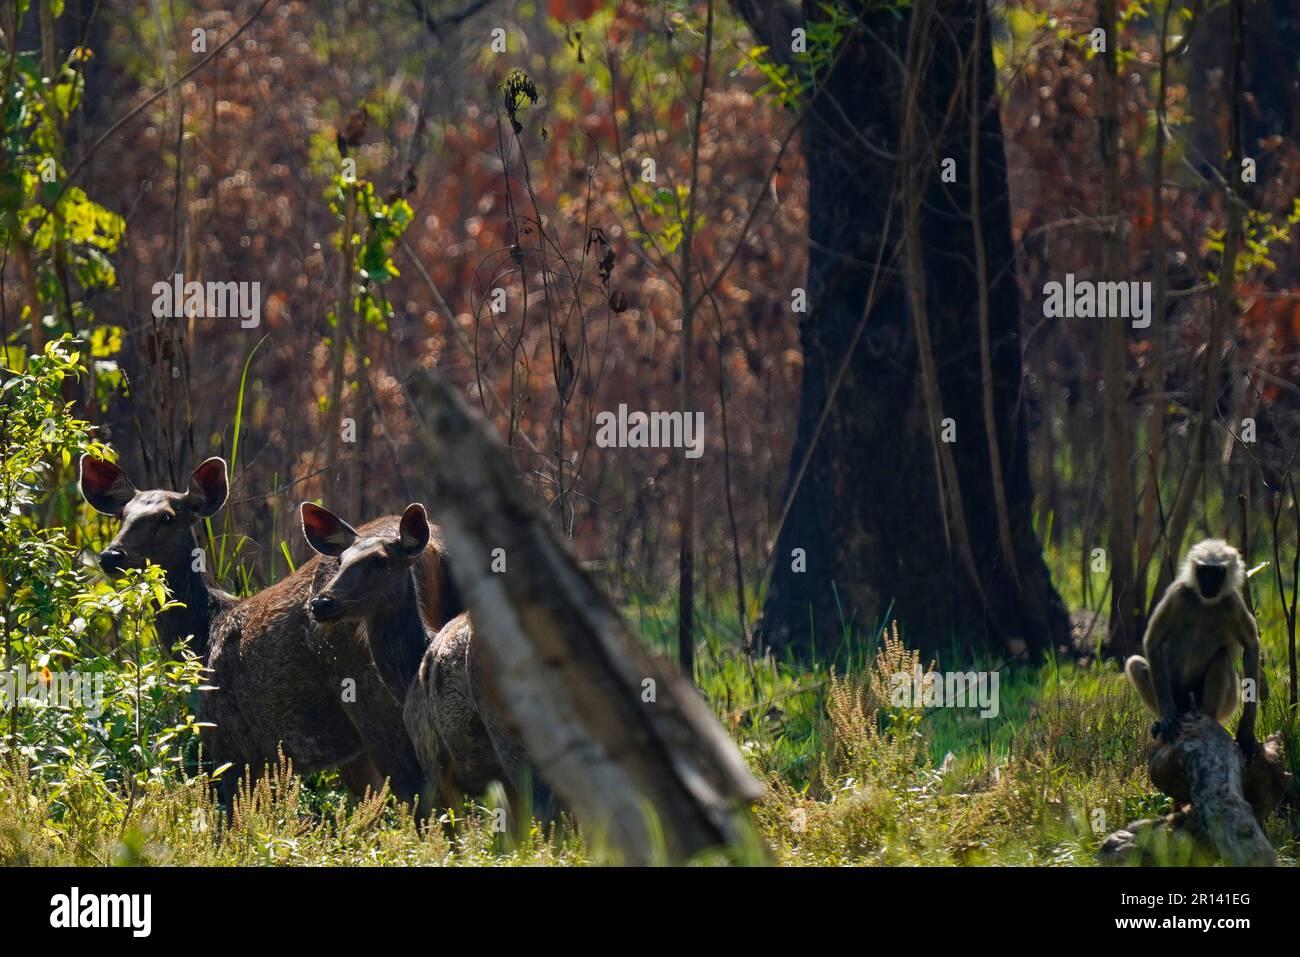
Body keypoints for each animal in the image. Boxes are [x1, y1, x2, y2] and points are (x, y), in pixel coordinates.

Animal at [78, 452, 457, 806]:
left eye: (167, 517)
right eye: (122, 515)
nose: (111, 555)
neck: (204, 634)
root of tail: (433, 547)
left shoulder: (228, 742)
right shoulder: (347, 754)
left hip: (372, 698)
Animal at [1128, 538, 1258, 754]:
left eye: (1217, 572)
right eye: (1204, 570)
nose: (1209, 582)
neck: (1206, 603)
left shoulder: (1232, 602)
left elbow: (1251, 646)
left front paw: (1246, 730)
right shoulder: (1178, 593)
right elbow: (1154, 640)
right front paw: (1167, 716)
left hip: (1227, 703)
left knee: (1221, 657)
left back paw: (1209, 718)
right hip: (1179, 695)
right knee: (1136, 664)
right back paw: (1164, 723)